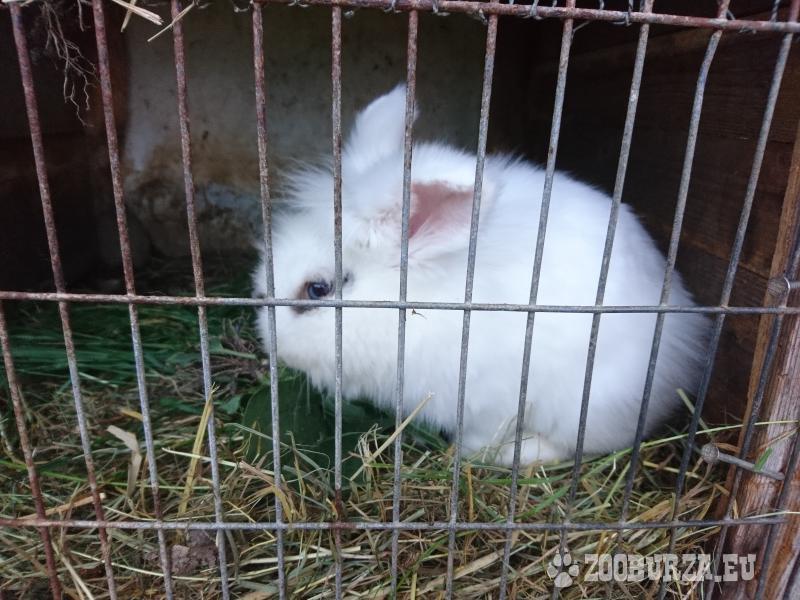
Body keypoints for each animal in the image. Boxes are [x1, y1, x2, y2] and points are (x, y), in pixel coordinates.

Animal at [252, 84, 710, 466]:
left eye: (317, 288)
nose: (269, 341)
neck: (416, 308)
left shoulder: (491, 399)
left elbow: (486, 430)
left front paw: (467, 452)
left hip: (590, 402)